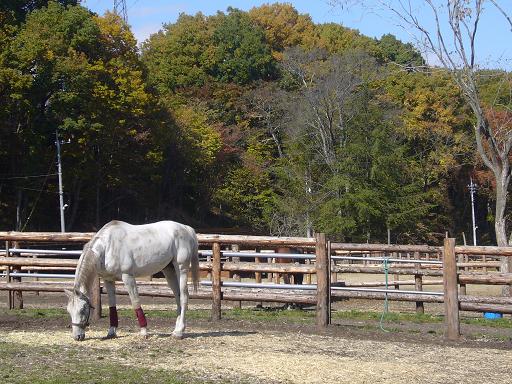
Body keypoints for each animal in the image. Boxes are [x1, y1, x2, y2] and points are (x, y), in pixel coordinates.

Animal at [64, 220, 200, 340]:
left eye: (83, 309)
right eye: (69, 311)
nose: (77, 337)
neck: (107, 247)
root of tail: (186, 228)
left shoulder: (128, 277)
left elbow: (135, 302)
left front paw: (144, 332)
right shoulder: (108, 280)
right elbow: (112, 306)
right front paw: (111, 332)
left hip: (181, 268)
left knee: (184, 297)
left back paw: (179, 333)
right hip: (169, 270)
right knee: (177, 297)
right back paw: (176, 329)